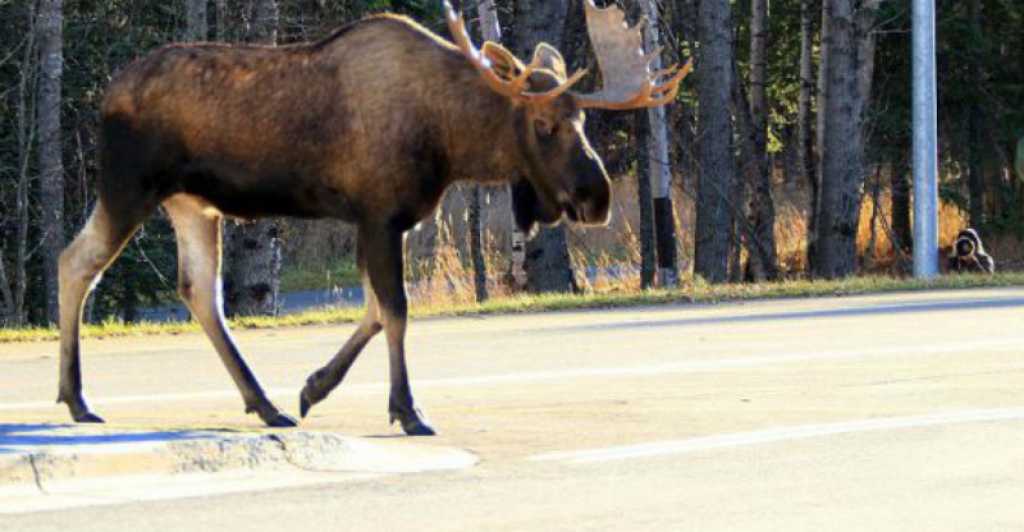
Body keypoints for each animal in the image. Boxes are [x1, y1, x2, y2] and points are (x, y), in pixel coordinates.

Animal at [59, 0, 692, 433]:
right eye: (544, 124)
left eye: (581, 120)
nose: (596, 197)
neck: (449, 140)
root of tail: (104, 96)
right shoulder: (380, 213)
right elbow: (397, 310)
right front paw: (407, 410)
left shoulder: (385, 220)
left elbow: (373, 309)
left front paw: (313, 388)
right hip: (130, 186)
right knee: (76, 262)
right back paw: (79, 399)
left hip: (191, 203)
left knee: (198, 291)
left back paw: (264, 404)